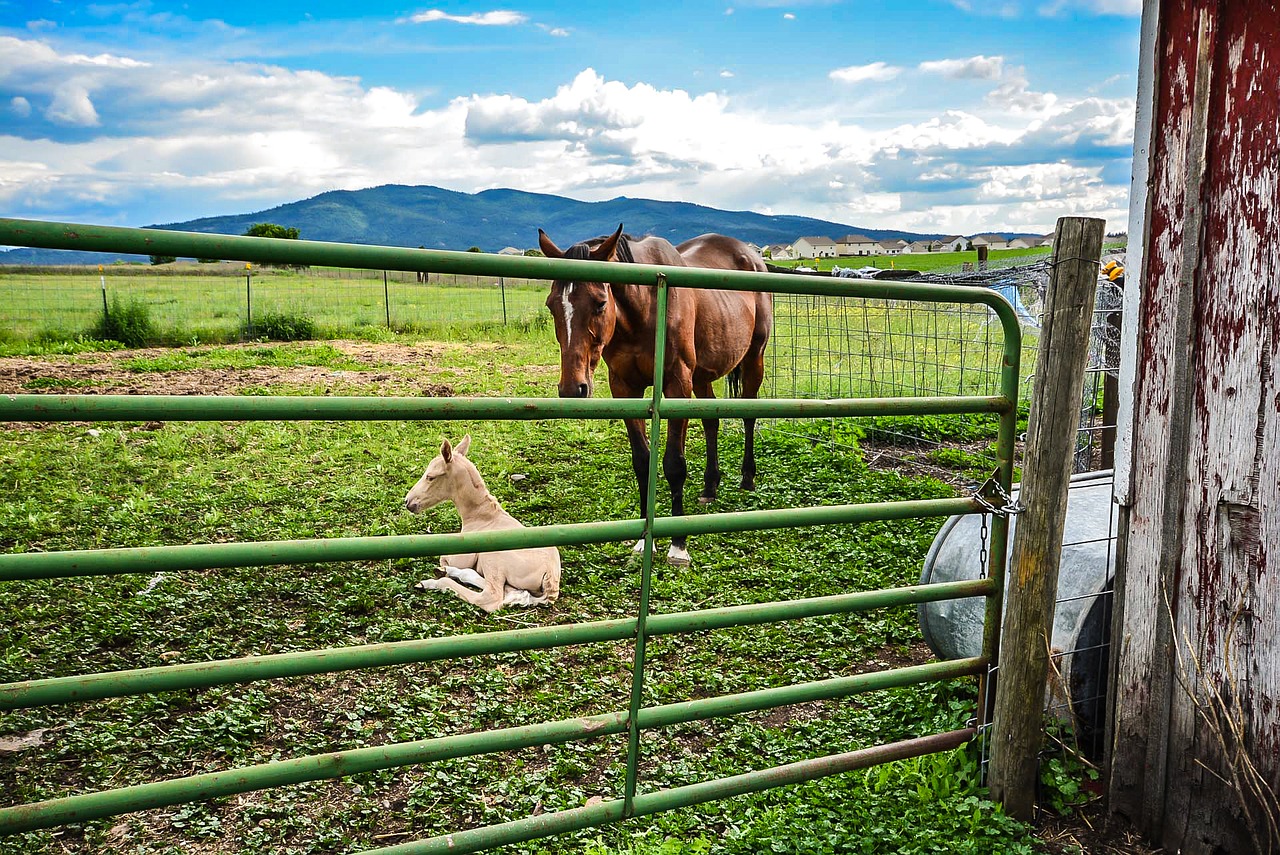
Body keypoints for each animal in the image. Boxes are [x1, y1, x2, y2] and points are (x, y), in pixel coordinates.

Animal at [399, 435, 560, 614]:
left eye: (430, 477)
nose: (408, 502)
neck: (482, 516)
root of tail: (551, 579)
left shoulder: (462, 557)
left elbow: (443, 558)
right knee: (511, 591)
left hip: (493, 559)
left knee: (491, 597)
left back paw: (430, 582)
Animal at [537, 223, 768, 563]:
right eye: (552, 304)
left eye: (600, 302)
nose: (572, 388)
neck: (646, 307)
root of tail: (750, 254)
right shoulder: (625, 388)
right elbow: (643, 462)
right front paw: (644, 541)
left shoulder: (676, 384)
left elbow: (674, 463)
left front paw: (678, 544)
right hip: (702, 377)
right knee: (711, 422)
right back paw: (710, 486)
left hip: (753, 359)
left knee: (749, 416)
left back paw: (748, 478)